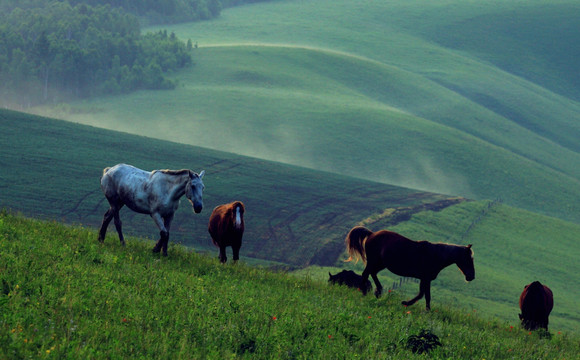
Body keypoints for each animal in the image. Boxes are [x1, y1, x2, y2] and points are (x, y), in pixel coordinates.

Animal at [344, 226, 472, 310]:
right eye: (469, 259)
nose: (471, 277)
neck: (436, 255)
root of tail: (371, 234)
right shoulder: (425, 278)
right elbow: (424, 295)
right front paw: (407, 303)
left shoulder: (425, 279)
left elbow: (425, 295)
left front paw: (425, 310)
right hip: (373, 261)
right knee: (366, 274)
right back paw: (364, 292)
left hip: (380, 264)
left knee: (372, 273)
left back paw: (378, 292)